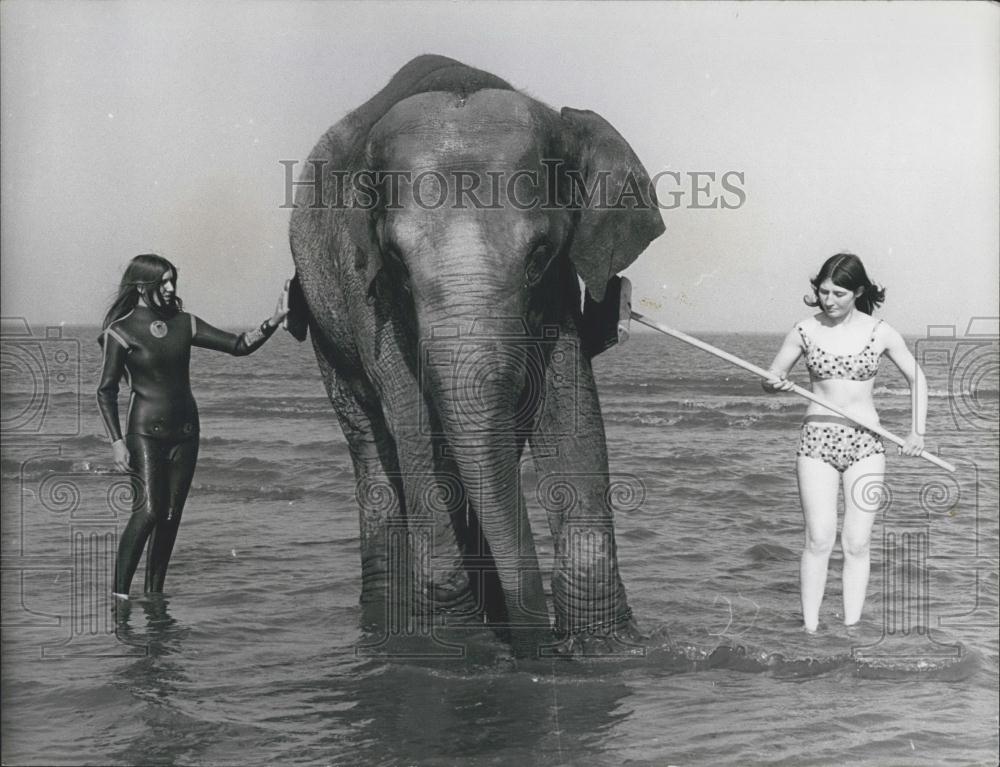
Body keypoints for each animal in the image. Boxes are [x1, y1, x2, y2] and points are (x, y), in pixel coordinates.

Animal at [288, 54, 664, 656]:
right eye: (396, 261)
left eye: (538, 255)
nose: (538, 648)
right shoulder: (363, 288)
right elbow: (414, 419)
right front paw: (460, 645)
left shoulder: (557, 289)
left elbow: (570, 408)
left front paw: (604, 649)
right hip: (324, 323)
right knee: (371, 442)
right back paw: (393, 619)